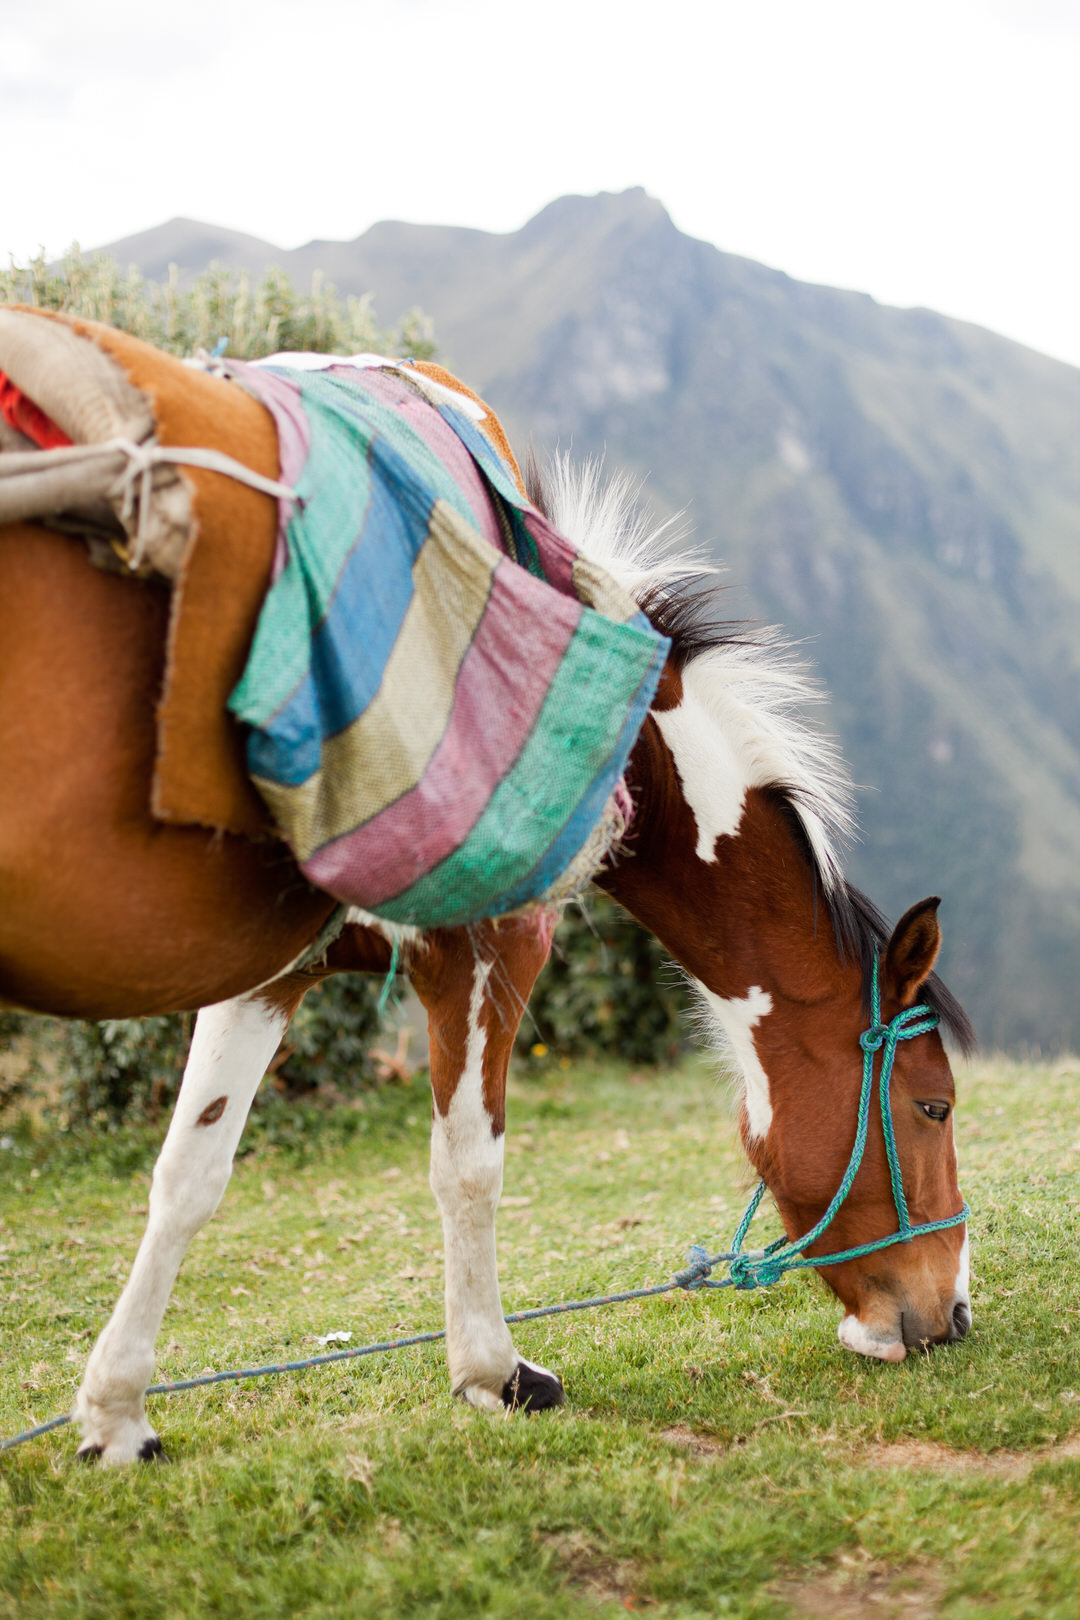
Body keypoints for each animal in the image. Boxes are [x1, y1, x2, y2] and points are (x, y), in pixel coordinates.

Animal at [0, 460, 977, 1470]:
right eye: (934, 1107)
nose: (954, 1313)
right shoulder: (487, 948)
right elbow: (469, 1166)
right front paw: (494, 1374)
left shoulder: (272, 972)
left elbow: (189, 1175)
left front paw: (115, 1415)